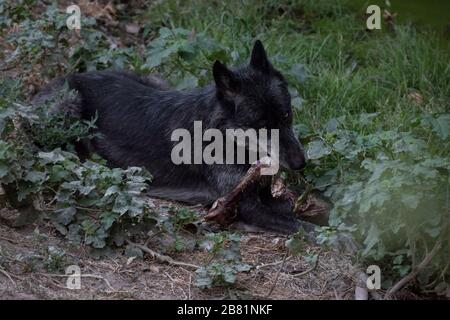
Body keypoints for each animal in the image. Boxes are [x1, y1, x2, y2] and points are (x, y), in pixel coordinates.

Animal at [34, 41, 310, 234]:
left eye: (286, 115)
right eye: (261, 126)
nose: (300, 163)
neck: (224, 136)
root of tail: (68, 76)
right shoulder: (247, 207)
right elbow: (304, 228)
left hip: (155, 80)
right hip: (69, 105)